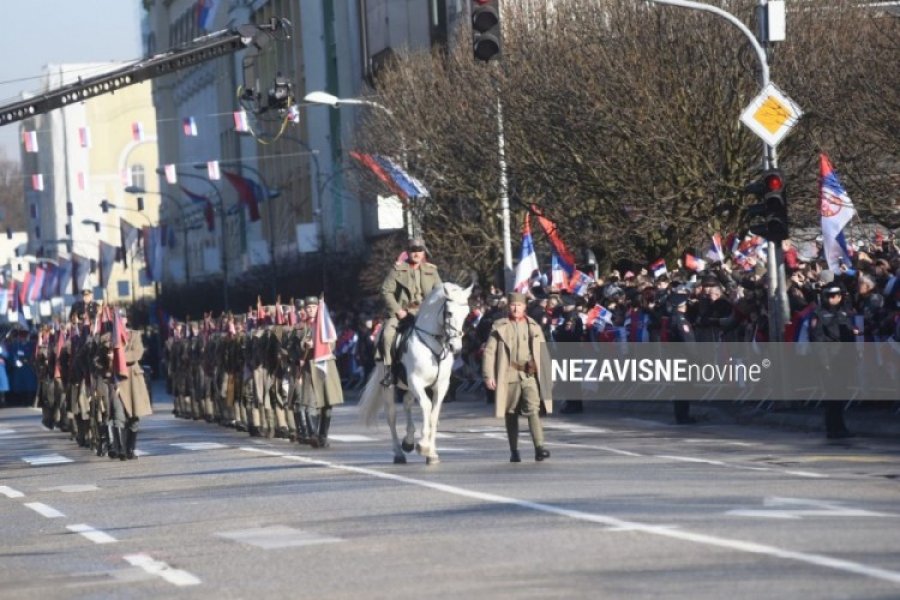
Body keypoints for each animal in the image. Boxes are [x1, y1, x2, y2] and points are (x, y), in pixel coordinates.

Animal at [358, 278, 474, 466]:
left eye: (467, 313)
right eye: (449, 313)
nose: (455, 348)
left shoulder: (441, 386)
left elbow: (434, 415)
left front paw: (431, 453)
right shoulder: (416, 381)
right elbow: (426, 406)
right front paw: (423, 446)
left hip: (408, 388)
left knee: (406, 403)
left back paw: (408, 440)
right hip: (388, 386)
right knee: (392, 415)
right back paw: (399, 453)